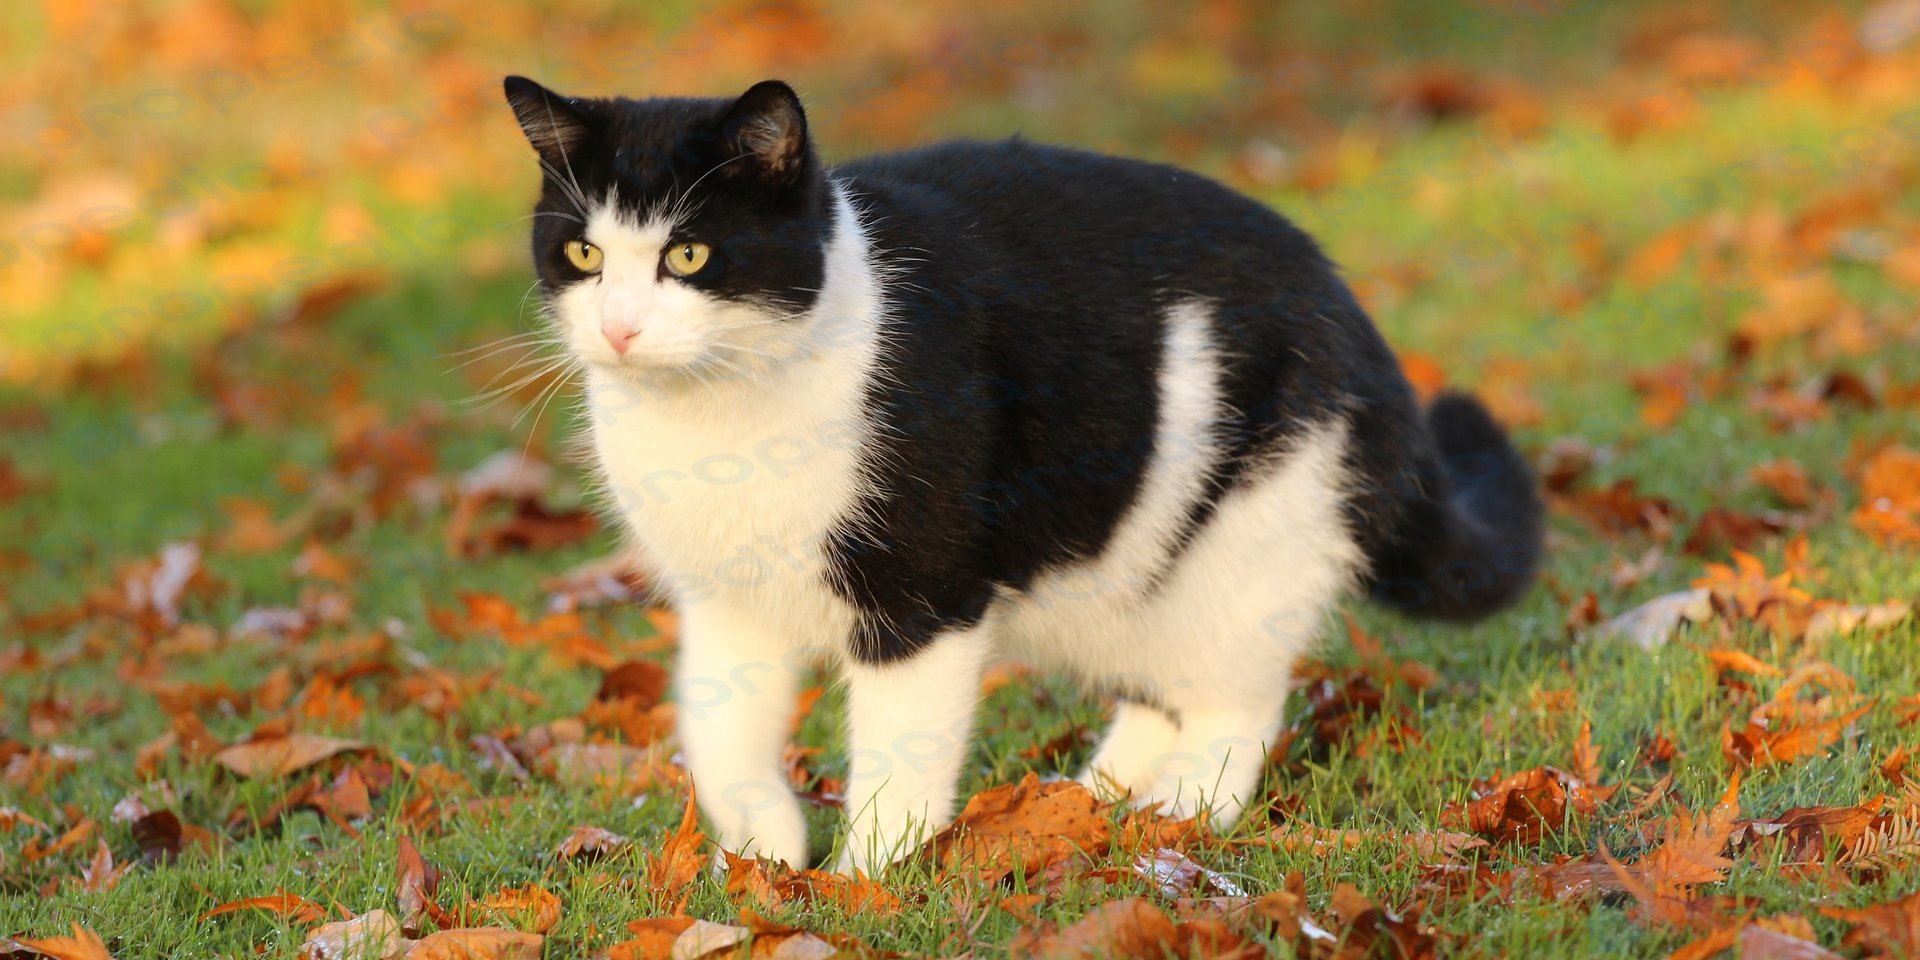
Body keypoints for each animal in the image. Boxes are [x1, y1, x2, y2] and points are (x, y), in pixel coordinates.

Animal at [499, 72, 1543, 871]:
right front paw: (764, 860)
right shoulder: (724, 601)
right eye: (584, 253)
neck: (714, 421)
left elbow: (899, 756)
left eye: (688, 253)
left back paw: (1178, 816)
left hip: (1255, 524)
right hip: (1122, 570)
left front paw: (864, 887)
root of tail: (1359, 320)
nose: (619, 329)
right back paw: (1092, 802)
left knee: (1235, 697)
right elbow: (721, 739)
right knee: (1159, 685)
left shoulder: (924, 597)